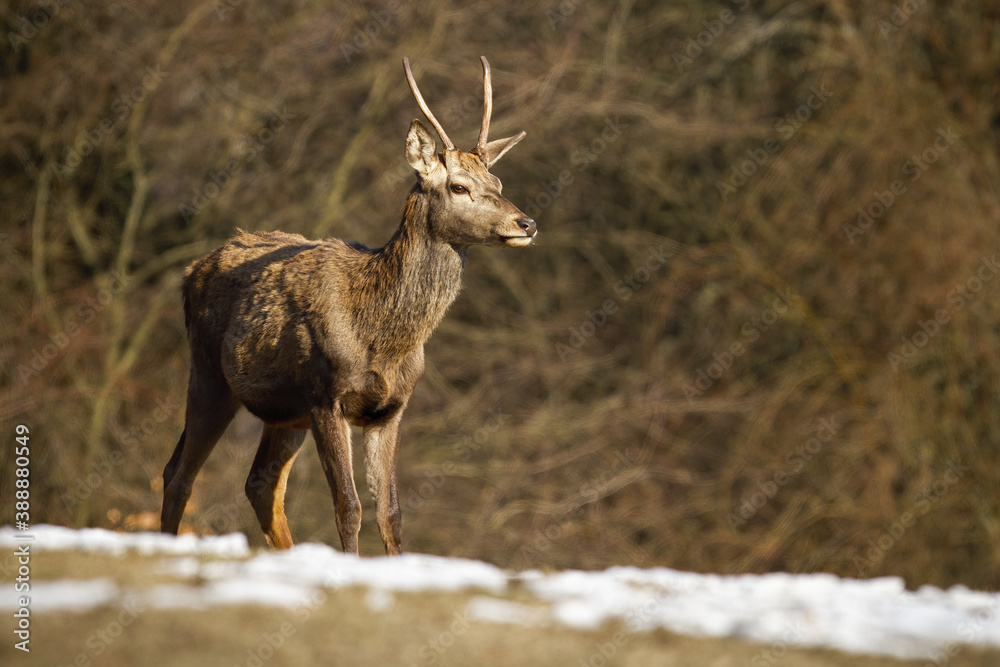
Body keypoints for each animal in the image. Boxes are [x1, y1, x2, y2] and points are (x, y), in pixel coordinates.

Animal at [162, 57, 540, 556]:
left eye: (497, 180)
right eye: (459, 187)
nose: (526, 222)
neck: (382, 334)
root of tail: (191, 270)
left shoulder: (392, 408)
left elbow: (391, 513)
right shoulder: (327, 396)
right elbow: (349, 507)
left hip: (285, 412)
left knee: (259, 484)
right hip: (210, 374)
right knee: (179, 476)